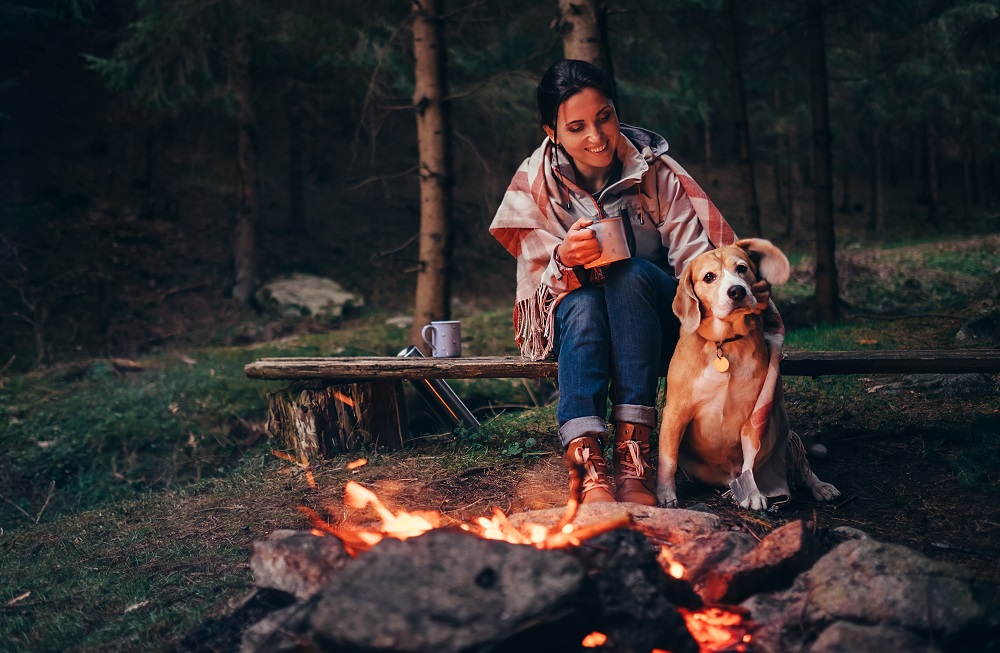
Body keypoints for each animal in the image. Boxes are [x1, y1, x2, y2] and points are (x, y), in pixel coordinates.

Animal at [652, 238, 840, 510]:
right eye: (709, 277)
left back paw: (820, 486)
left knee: (804, 469)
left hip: (786, 434)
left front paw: (752, 494)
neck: (725, 344)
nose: (736, 291)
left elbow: (752, 461)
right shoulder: (676, 413)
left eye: (741, 268)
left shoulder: (754, 417)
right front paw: (665, 495)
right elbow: (668, 459)